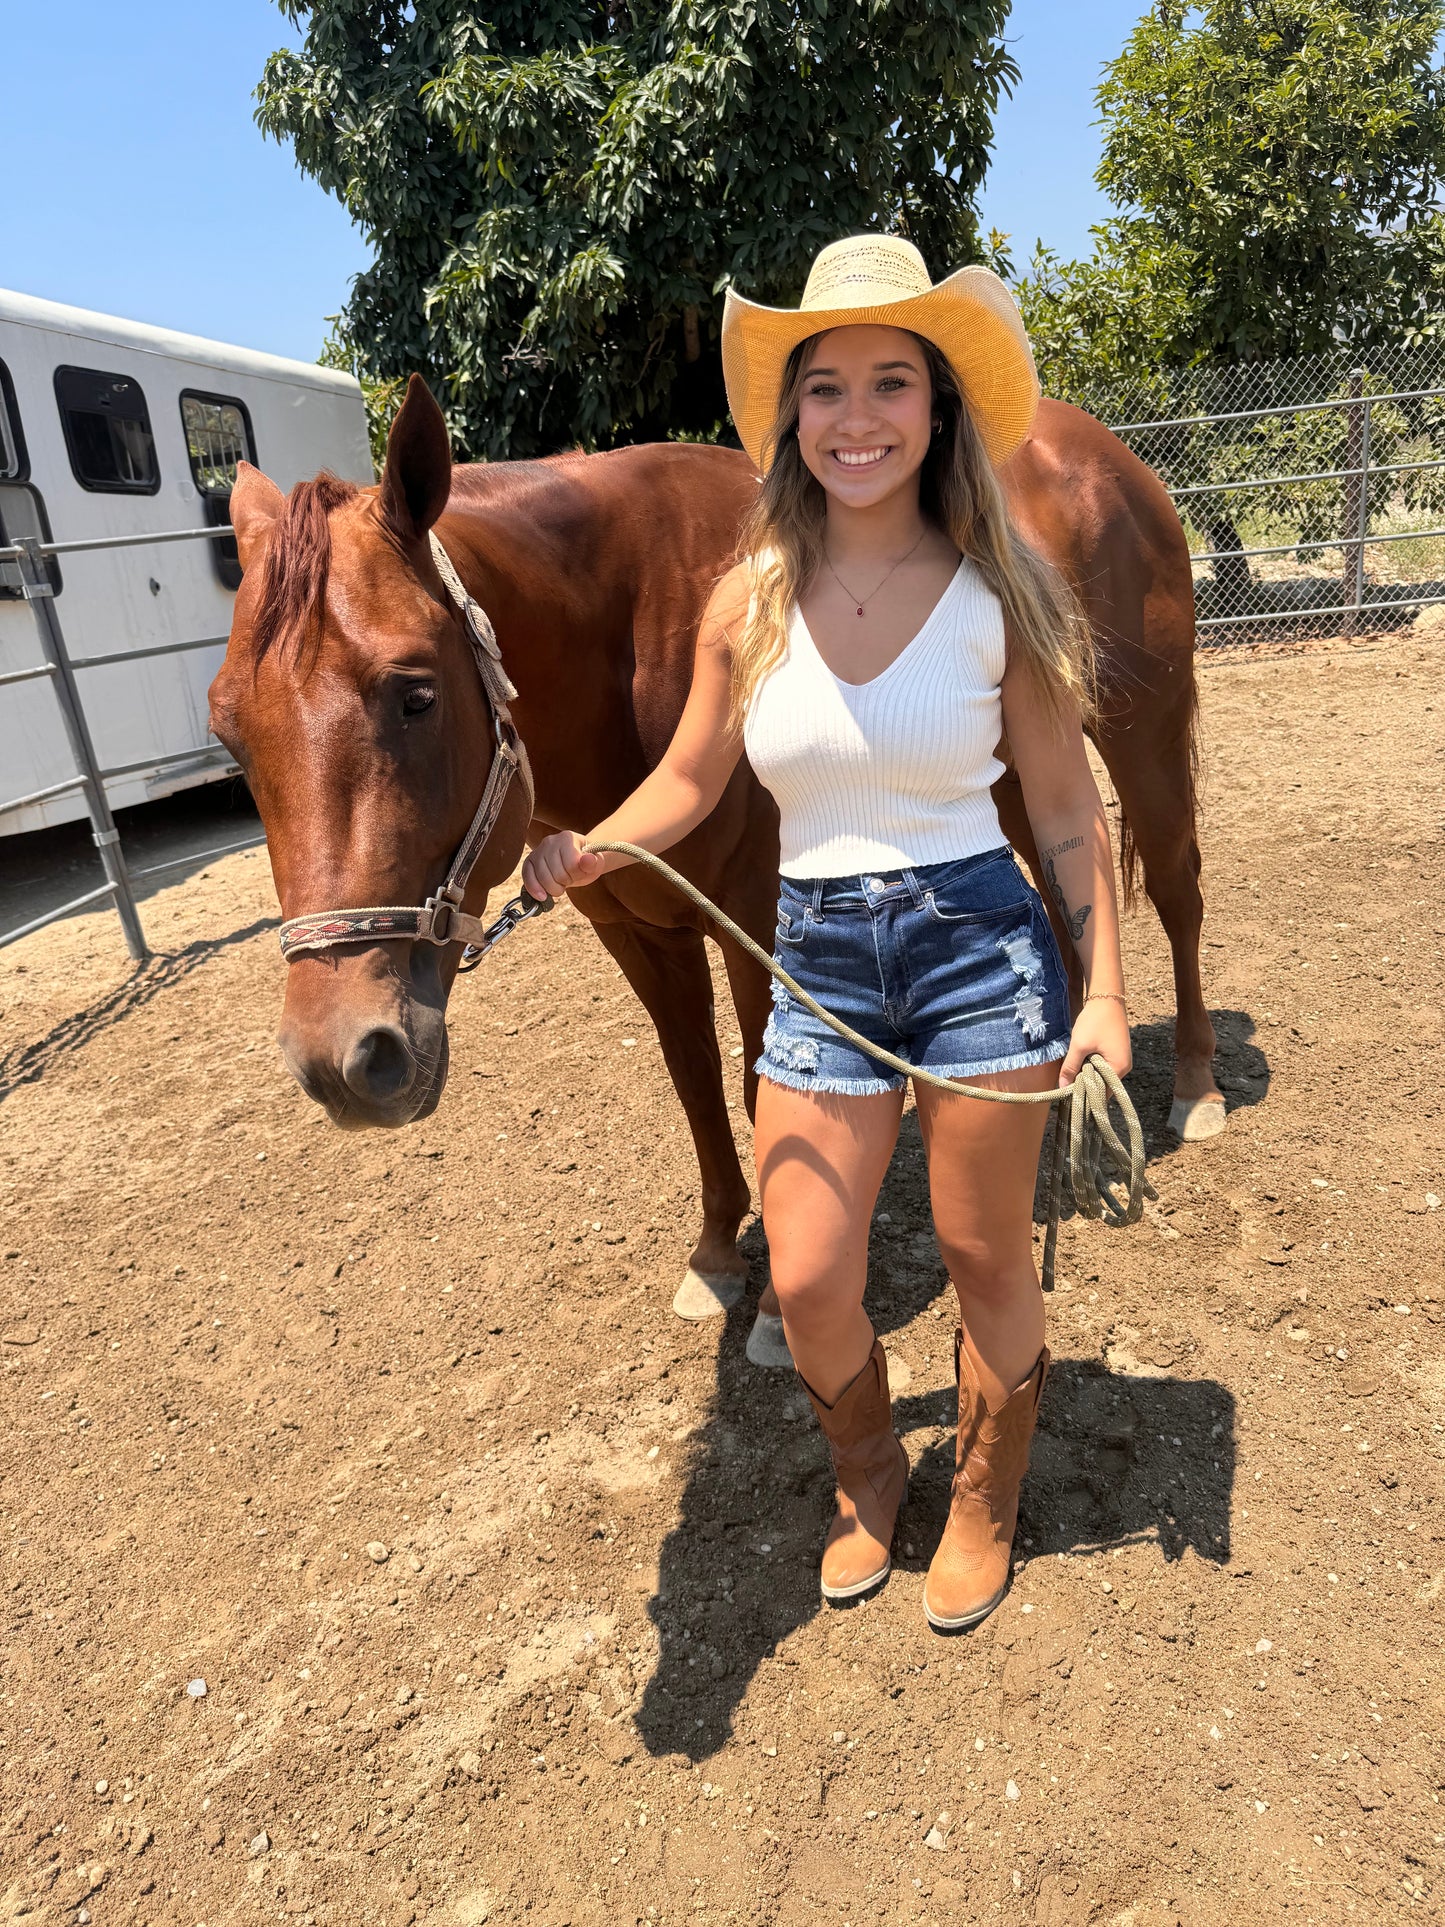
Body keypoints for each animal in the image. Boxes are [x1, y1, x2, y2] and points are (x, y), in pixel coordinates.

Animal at [211, 371, 1225, 1341]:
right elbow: (694, 1083)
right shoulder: (636, 928)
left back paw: (1195, 1089)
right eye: (229, 731)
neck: (629, 633)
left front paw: (775, 1296)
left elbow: (753, 1089)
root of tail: (1103, 455)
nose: (343, 1059)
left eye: (415, 693)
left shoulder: (755, 925)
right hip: (1006, 778)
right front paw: (715, 1255)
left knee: (1176, 895)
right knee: (1060, 901)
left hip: (1140, 735)